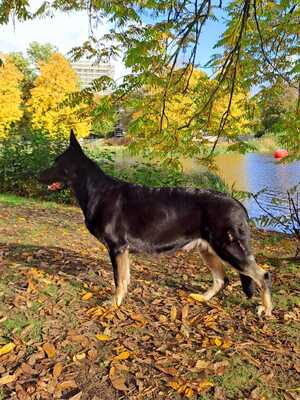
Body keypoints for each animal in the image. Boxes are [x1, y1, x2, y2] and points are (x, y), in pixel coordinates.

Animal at [38, 131, 274, 316]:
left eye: (57, 163)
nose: (38, 175)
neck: (95, 191)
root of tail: (238, 205)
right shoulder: (122, 252)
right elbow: (124, 279)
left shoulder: (117, 249)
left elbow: (118, 280)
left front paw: (114, 303)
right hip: (208, 250)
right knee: (221, 279)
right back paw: (202, 298)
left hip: (228, 249)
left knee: (261, 275)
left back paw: (267, 309)